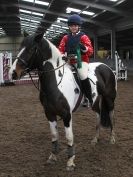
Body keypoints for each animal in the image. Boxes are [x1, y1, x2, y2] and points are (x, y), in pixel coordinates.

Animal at [8, 32, 116, 171]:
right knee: (98, 115)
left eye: (31, 49)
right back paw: (95, 139)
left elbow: (69, 137)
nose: (13, 73)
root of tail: (106, 67)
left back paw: (112, 139)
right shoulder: (49, 114)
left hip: (109, 99)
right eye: (20, 47)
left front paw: (70, 162)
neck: (56, 83)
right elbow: (54, 135)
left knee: (111, 115)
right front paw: (52, 157)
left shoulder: (66, 115)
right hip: (95, 102)